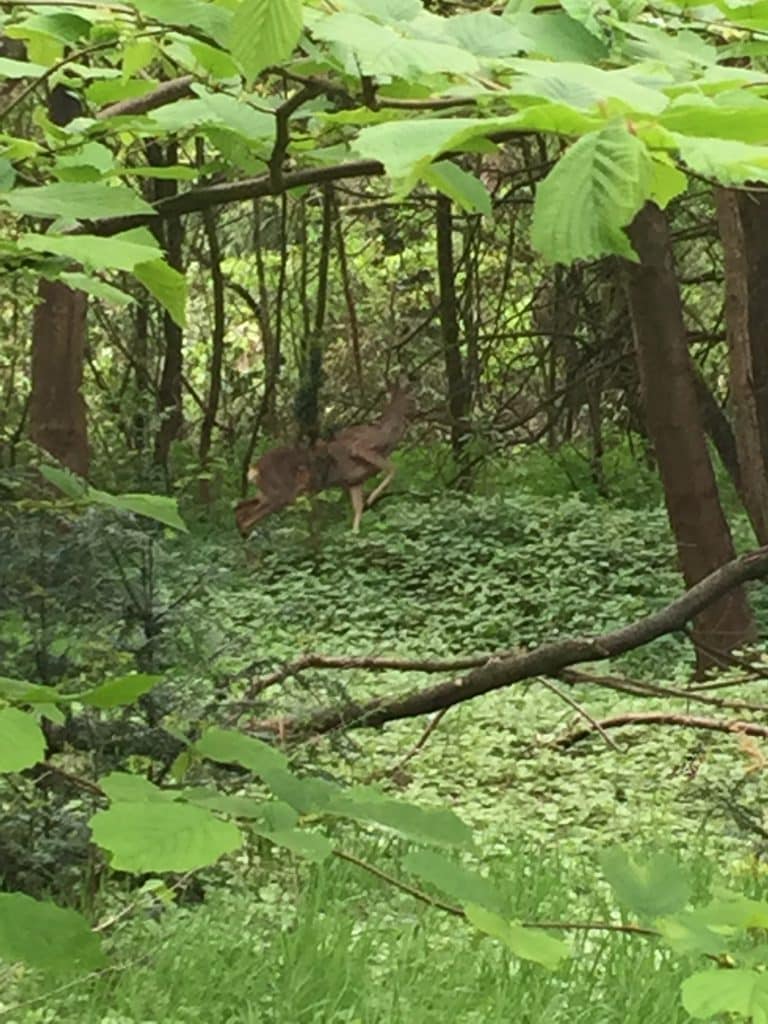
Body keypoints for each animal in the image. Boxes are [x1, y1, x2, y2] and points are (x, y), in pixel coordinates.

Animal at [234, 378, 415, 536]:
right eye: (409, 395)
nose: (417, 409)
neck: (386, 437)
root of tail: (254, 469)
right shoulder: (360, 447)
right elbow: (393, 468)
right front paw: (371, 498)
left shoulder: (354, 481)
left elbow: (358, 509)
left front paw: (355, 535)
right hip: (281, 492)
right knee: (246, 519)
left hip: (267, 491)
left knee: (239, 510)